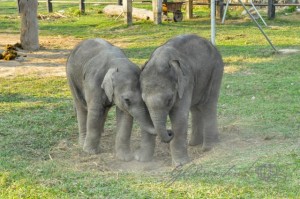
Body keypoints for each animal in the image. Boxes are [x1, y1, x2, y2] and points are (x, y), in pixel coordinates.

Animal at [139, 34, 224, 166]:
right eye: (144, 101)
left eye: (169, 100)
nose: (169, 132)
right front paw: (142, 160)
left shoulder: (186, 81)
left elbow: (179, 117)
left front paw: (180, 164)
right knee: (196, 108)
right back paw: (193, 143)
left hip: (216, 70)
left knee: (208, 104)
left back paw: (208, 148)